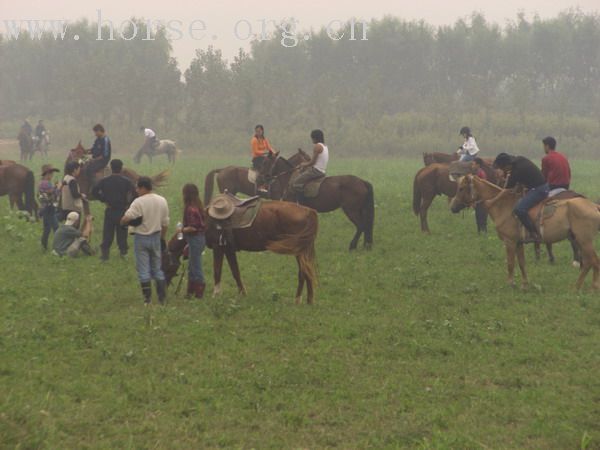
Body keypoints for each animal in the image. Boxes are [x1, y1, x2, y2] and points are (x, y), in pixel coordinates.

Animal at [450, 174, 600, 290]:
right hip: (578, 239)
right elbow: (522, 263)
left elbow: (510, 263)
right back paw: (578, 286)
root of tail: (593, 206)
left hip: (584, 240)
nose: (453, 207)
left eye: (461, 188)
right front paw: (524, 284)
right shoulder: (518, 243)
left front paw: (510, 283)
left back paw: (591, 287)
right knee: (588, 262)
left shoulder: (510, 242)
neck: (503, 206)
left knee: (593, 260)